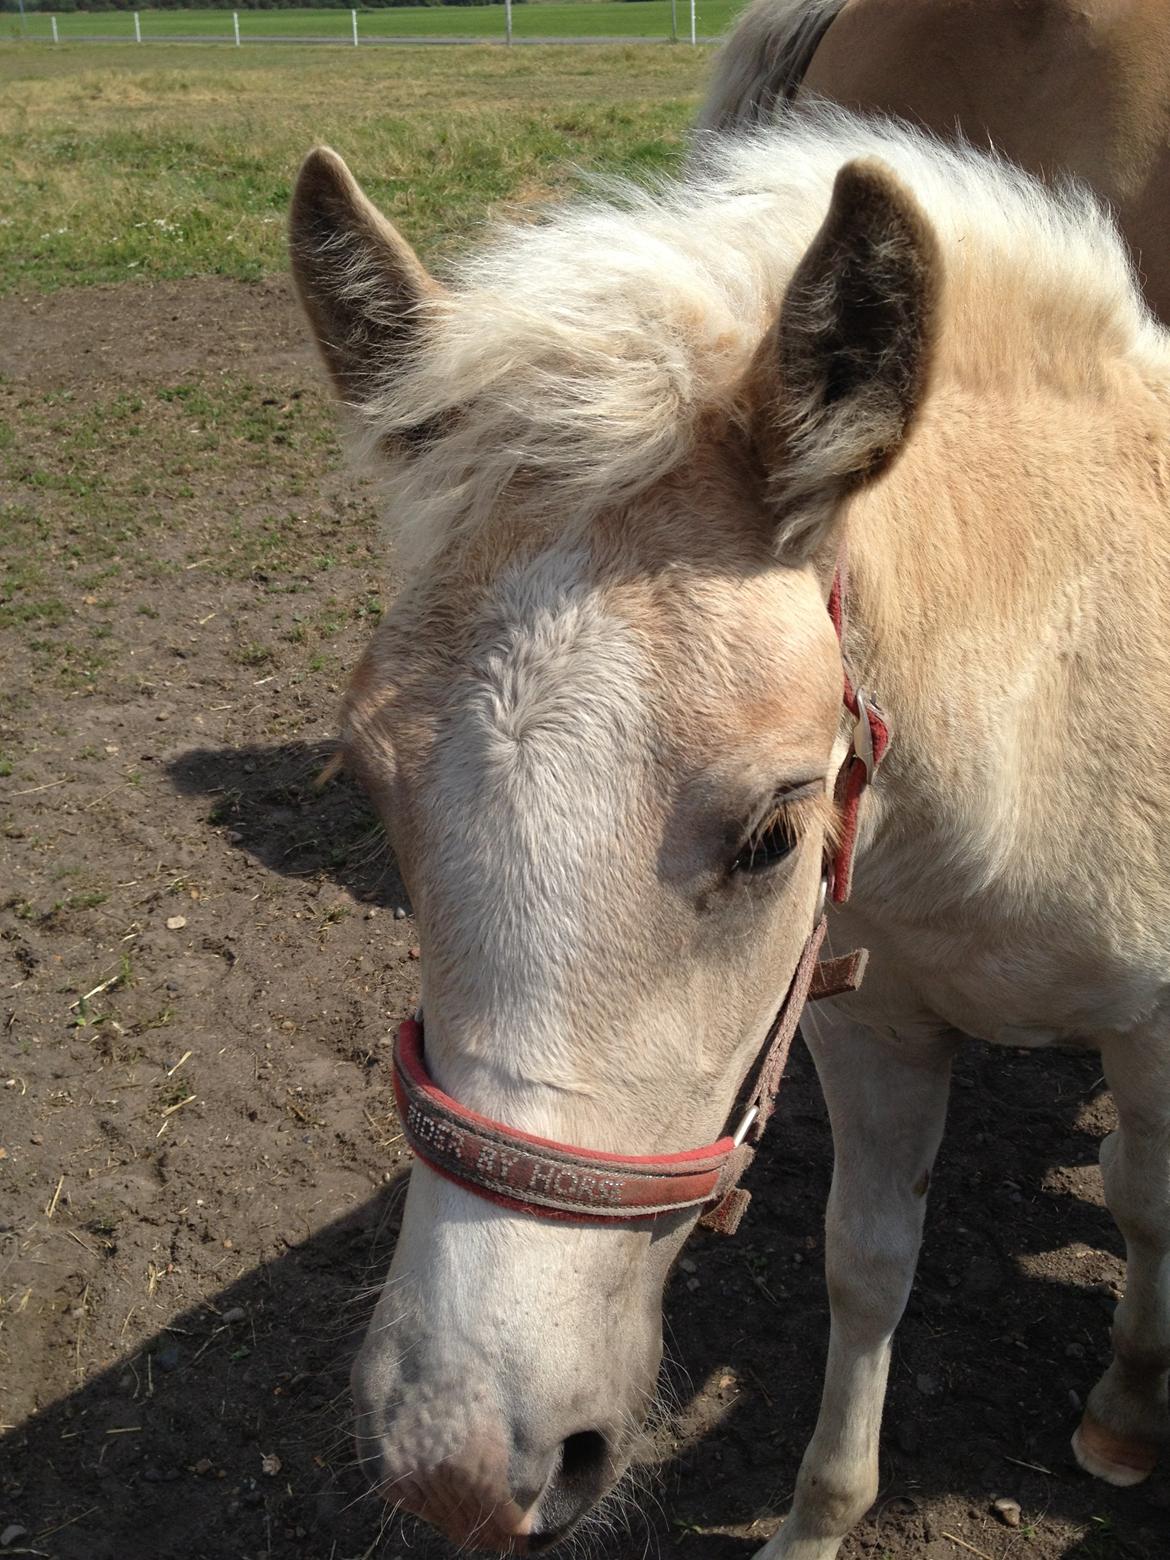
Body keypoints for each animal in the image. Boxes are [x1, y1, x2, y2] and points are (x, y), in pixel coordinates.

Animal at [288, 97, 1170, 1560]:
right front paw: (818, 1518)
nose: (454, 1465)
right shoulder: (870, 1022)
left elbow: (1143, 1202)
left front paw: (1124, 1411)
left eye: (769, 834)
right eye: (368, 783)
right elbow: (864, 1266)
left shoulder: (1152, 1027)